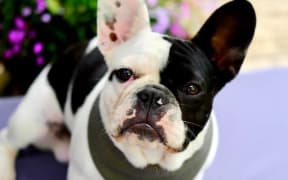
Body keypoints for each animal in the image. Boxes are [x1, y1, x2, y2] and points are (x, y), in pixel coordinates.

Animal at [0, 0, 256, 179]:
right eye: (124, 74)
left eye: (192, 88)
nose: (152, 95)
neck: (150, 159)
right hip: (33, 120)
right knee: (8, 140)